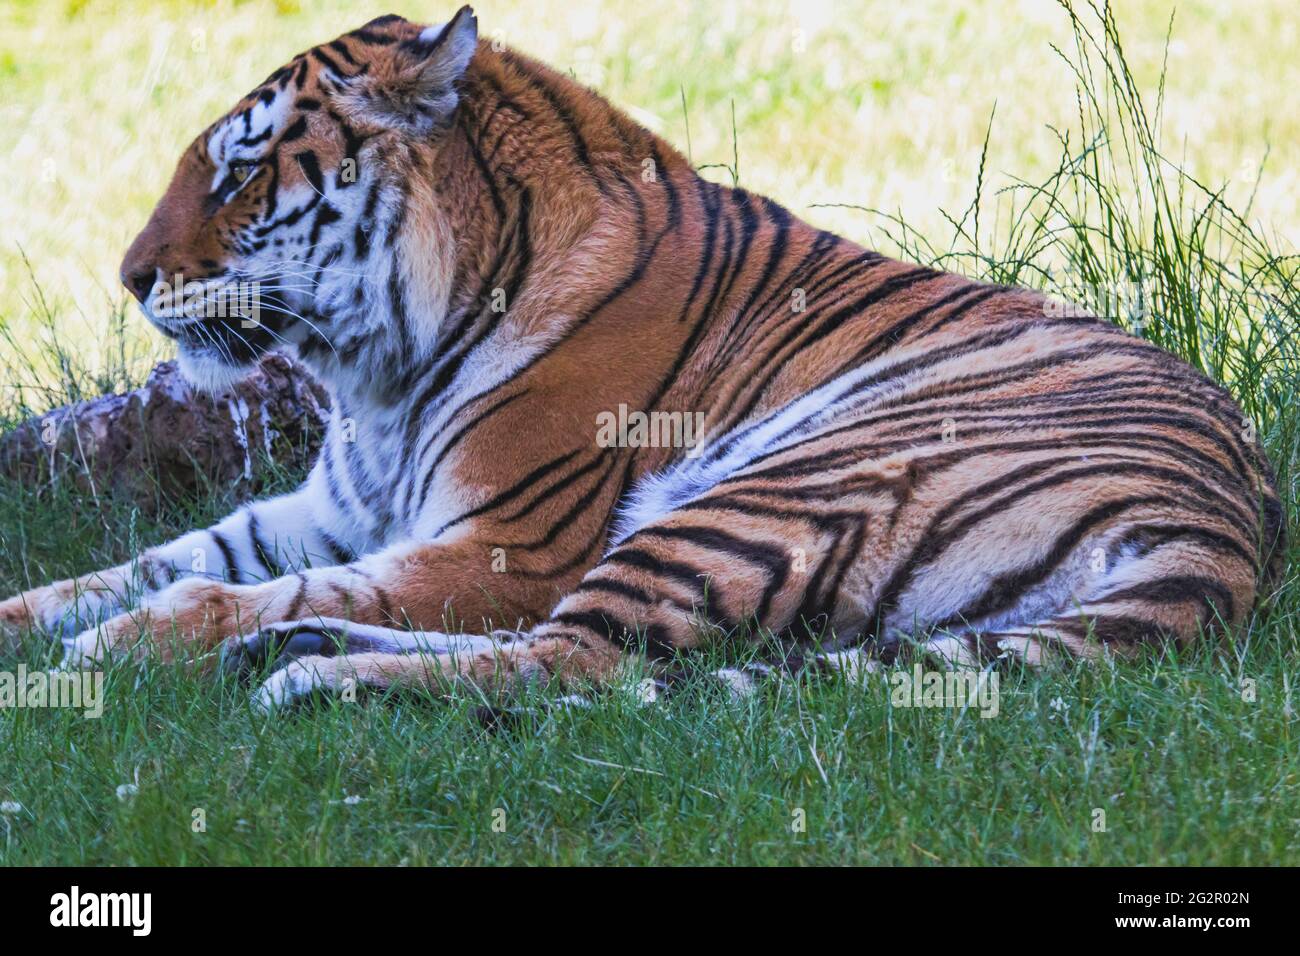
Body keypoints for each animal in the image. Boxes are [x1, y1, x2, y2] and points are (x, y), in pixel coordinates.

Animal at [0, 5, 1279, 712]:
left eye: (241, 171)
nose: (127, 275)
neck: (375, 375)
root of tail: (1228, 529)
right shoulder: (328, 507)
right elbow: (143, 562)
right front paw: (39, 618)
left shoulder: (509, 541)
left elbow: (205, 586)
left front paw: (112, 650)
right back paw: (294, 650)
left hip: (773, 486)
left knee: (573, 663)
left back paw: (307, 672)